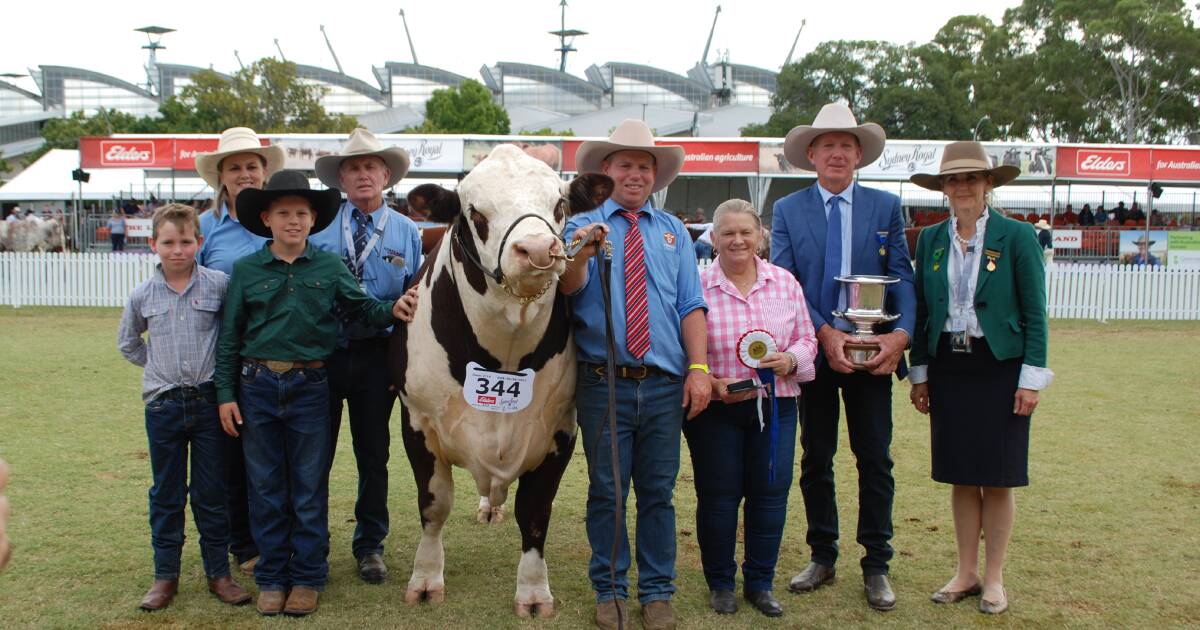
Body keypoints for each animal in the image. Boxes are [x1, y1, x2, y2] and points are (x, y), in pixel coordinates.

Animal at [388, 145, 609, 614]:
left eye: (560, 206)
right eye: (475, 214)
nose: (538, 248)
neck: (504, 349)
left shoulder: (561, 429)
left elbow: (535, 511)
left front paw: (533, 592)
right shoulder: (416, 422)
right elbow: (434, 505)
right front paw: (425, 579)